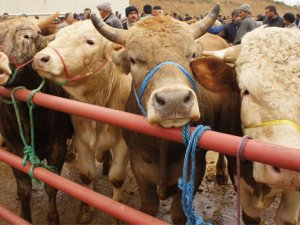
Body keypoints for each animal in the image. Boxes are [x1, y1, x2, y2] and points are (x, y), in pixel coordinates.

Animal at [0, 14, 72, 223]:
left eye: (27, 36)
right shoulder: (13, 148)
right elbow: (23, 188)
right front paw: (24, 216)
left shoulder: (57, 147)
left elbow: (51, 186)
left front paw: (53, 217)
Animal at [32, 20, 132, 223]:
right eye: (57, 37)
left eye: (90, 41)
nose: (40, 58)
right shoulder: (81, 140)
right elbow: (87, 176)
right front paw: (86, 209)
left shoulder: (122, 144)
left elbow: (117, 178)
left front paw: (117, 210)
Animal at [90, 4, 243, 223]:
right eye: (133, 60)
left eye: (192, 55)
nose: (174, 101)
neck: (163, 145)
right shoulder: (139, 164)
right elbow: (149, 206)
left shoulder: (195, 167)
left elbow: (178, 212)